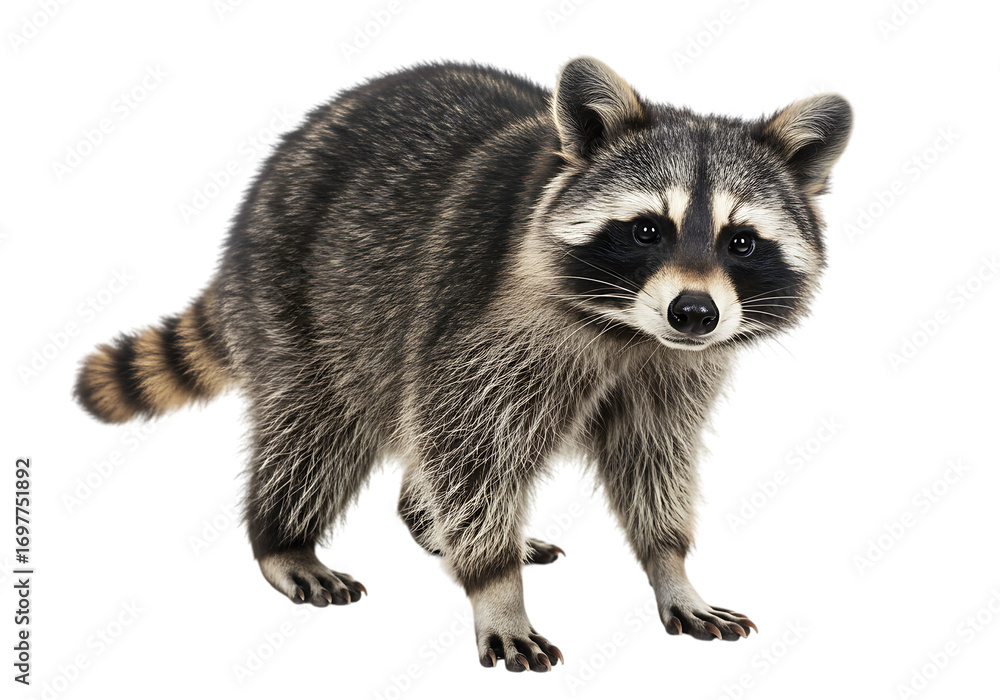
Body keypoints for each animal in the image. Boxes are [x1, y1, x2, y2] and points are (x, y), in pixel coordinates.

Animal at [75, 57, 851, 672]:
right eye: (645, 230)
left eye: (740, 242)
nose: (695, 313)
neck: (629, 333)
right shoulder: (483, 317)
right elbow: (470, 445)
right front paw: (496, 587)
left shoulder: (673, 373)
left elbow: (652, 459)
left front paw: (671, 564)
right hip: (296, 294)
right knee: (317, 430)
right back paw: (283, 540)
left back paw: (422, 520)